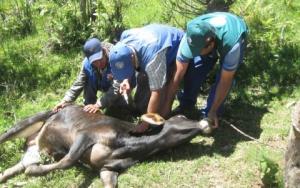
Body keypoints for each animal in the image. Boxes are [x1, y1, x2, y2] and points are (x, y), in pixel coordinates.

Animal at [0, 104, 211, 188]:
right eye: (181, 117)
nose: (206, 122)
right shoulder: (86, 134)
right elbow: (68, 160)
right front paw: (33, 172)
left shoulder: (107, 169)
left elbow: (110, 183)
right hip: (29, 122)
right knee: (5, 135)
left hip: (32, 151)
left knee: (10, 170)